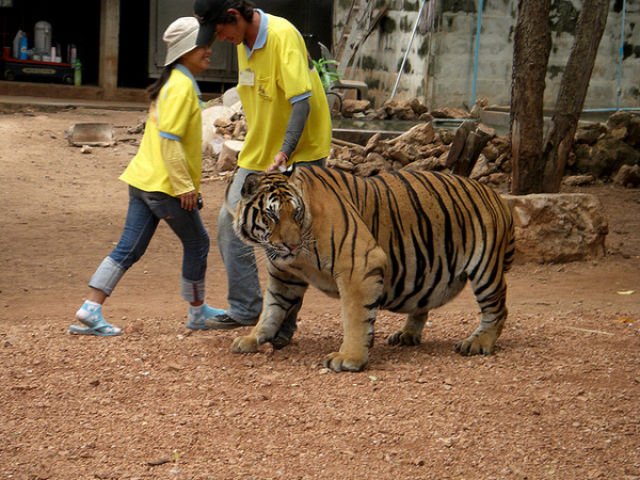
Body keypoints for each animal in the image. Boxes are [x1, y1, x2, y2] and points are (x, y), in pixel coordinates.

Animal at [230, 165, 516, 372]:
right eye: (272, 215)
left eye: (296, 213)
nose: (291, 245)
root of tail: (496, 195)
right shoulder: (285, 277)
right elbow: (271, 310)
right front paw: (253, 338)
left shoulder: (359, 265)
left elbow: (355, 316)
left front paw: (349, 358)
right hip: (426, 269)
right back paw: (406, 335)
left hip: (486, 270)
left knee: (498, 309)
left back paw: (477, 343)